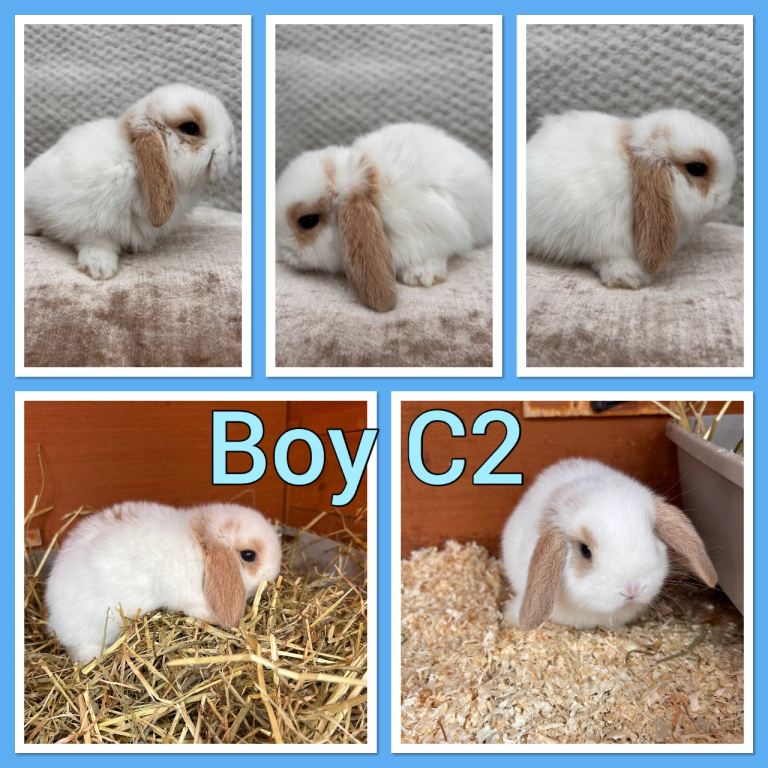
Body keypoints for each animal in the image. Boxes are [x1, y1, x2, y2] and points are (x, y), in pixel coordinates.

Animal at [25, 83, 237, 280]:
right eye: (191, 128)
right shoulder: (92, 220)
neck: (134, 162)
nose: (231, 152)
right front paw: (101, 269)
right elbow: (96, 243)